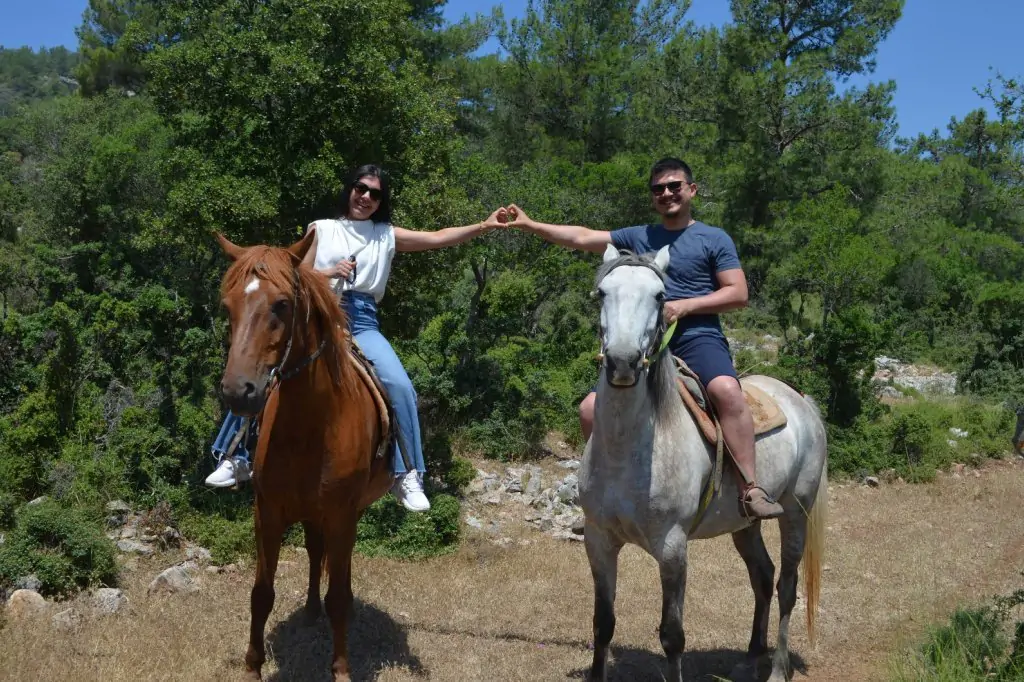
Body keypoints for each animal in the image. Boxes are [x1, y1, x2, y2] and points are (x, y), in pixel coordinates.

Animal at [216, 231, 391, 675]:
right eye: (228, 306)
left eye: (282, 304)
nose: (237, 392)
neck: (309, 426)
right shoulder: (267, 512)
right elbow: (261, 592)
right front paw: (252, 667)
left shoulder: (343, 514)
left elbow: (339, 597)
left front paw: (342, 669)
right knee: (315, 551)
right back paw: (311, 609)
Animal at [581, 244, 827, 679]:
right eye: (602, 293)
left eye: (660, 296)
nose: (623, 362)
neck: (629, 451)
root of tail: (801, 401)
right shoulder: (598, 541)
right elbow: (603, 624)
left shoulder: (672, 547)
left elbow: (672, 635)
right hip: (744, 523)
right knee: (762, 576)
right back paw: (751, 657)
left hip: (796, 511)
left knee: (786, 587)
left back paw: (777, 668)